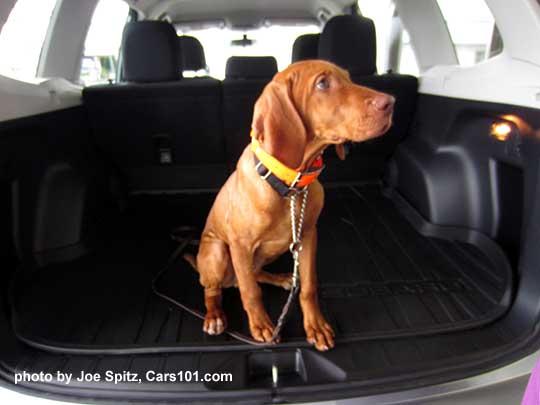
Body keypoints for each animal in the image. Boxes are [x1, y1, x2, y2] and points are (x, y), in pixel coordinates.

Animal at [186, 60, 392, 350]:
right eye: (322, 84)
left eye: (349, 78)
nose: (391, 102)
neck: (290, 186)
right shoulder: (239, 246)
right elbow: (251, 292)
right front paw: (261, 326)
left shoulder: (307, 236)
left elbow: (308, 287)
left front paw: (315, 326)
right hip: (217, 253)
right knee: (215, 289)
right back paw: (214, 316)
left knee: (251, 276)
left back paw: (282, 278)